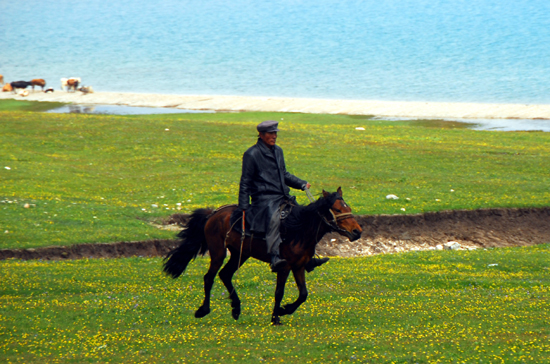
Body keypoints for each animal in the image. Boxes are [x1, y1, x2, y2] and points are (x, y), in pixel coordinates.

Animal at [162, 188, 364, 324]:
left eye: (347, 207)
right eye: (337, 210)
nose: (357, 232)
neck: (298, 229)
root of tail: (213, 213)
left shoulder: (298, 266)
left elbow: (303, 294)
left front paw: (284, 310)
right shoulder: (284, 267)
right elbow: (279, 292)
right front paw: (276, 317)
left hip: (240, 254)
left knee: (225, 275)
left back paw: (236, 308)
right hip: (218, 252)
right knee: (209, 277)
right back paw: (203, 310)